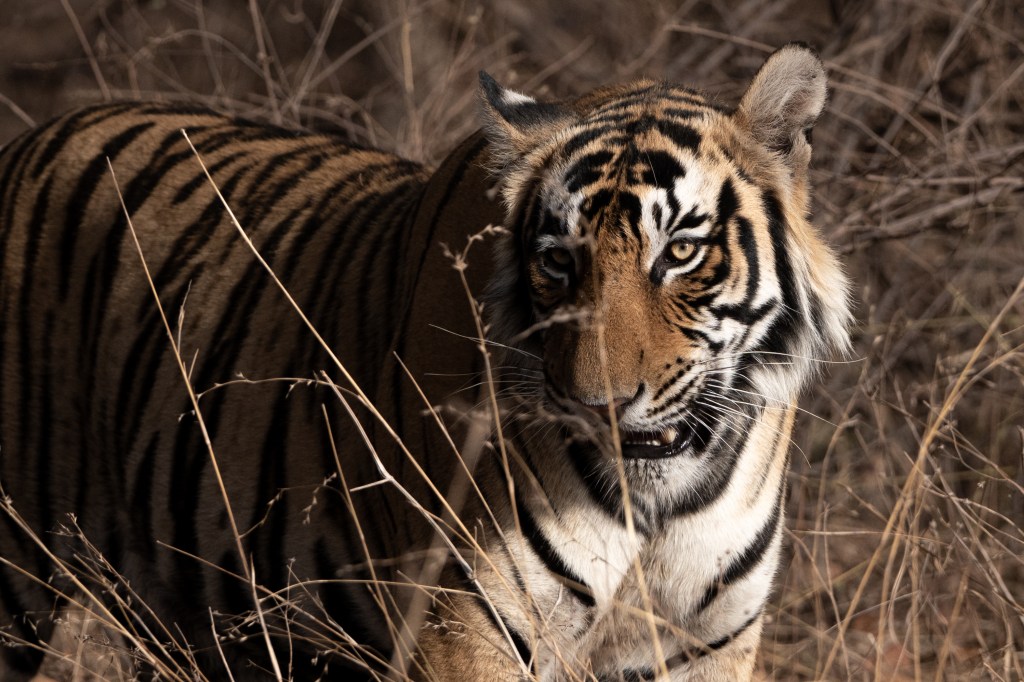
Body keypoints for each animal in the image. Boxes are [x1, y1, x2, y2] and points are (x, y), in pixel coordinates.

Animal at [0, 43, 851, 681]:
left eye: (679, 253)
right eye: (558, 263)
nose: (598, 405)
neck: (657, 507)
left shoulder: (704, 644)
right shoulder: (466, 629)